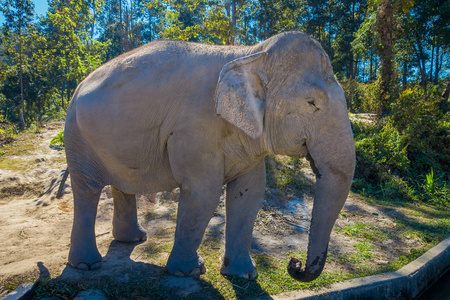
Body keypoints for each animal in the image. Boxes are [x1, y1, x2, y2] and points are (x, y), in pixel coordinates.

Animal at [62, 31, 356, 282]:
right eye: (312, 103)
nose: (295, 264)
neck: (251, 53)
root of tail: (80, 84)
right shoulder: (195, 128)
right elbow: (203, 192)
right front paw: (188, 272)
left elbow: (250, 193)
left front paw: (243, 275)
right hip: (77, 137)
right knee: (87, 189)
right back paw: (86, 264)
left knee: (122, 185)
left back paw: (133, 239)